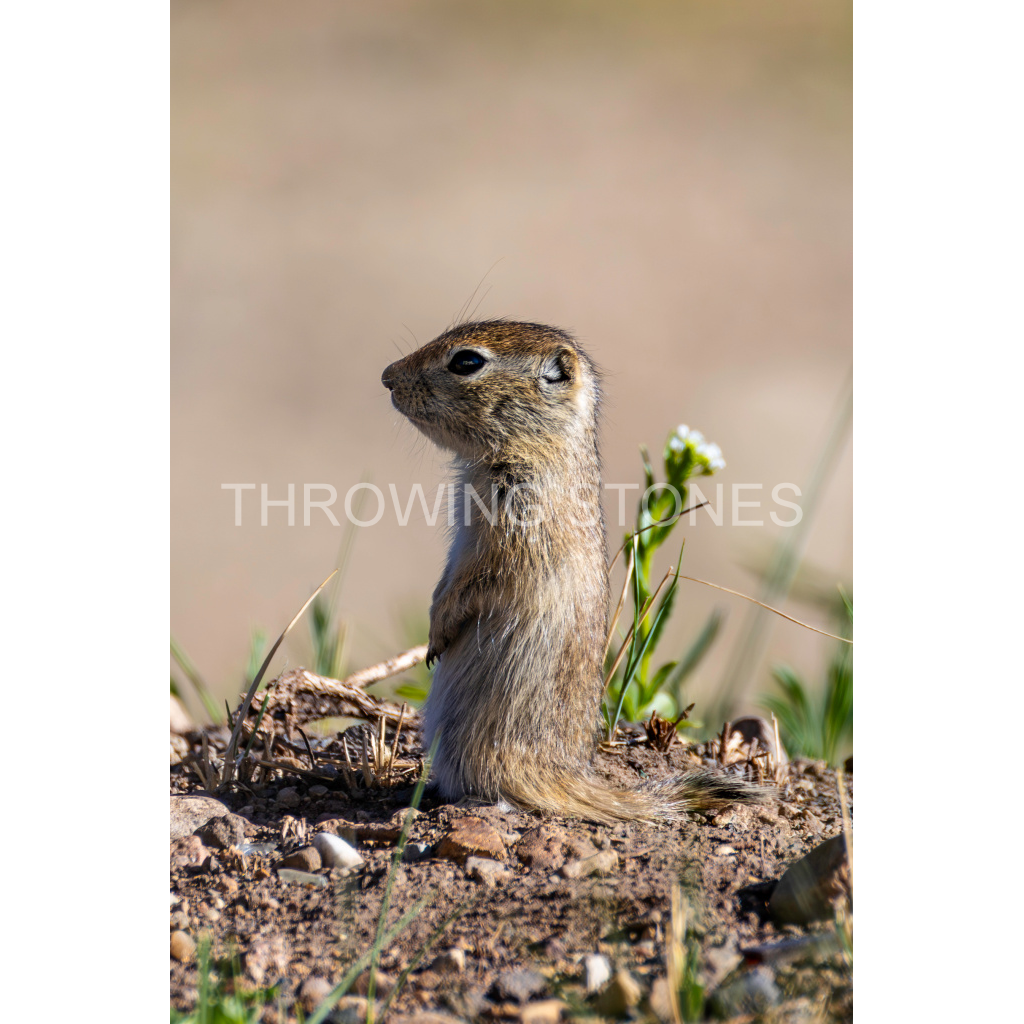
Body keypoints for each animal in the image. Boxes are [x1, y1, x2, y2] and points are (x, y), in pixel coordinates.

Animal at [381, 319, 764, 824]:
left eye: (467, 361)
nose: (386, 376)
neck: (540, 447)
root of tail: (568, 777)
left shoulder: (513, 535)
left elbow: (474, 584)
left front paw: (437, 635)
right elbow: (448, 578)